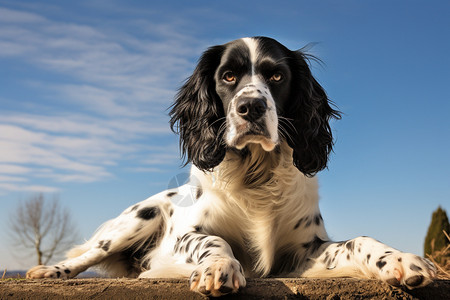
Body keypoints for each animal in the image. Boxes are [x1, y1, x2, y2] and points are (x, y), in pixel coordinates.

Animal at [26, 36, 434, 296]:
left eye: (276, 76)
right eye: (228, 76)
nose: (250, 107)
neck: (256, 174)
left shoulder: (301, 252)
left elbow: (357, 241)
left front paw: (400, 260)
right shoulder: (187, 236)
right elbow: (214, 240)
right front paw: (218, 267)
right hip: (139, 218)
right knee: (91, 252)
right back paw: (50, 271)